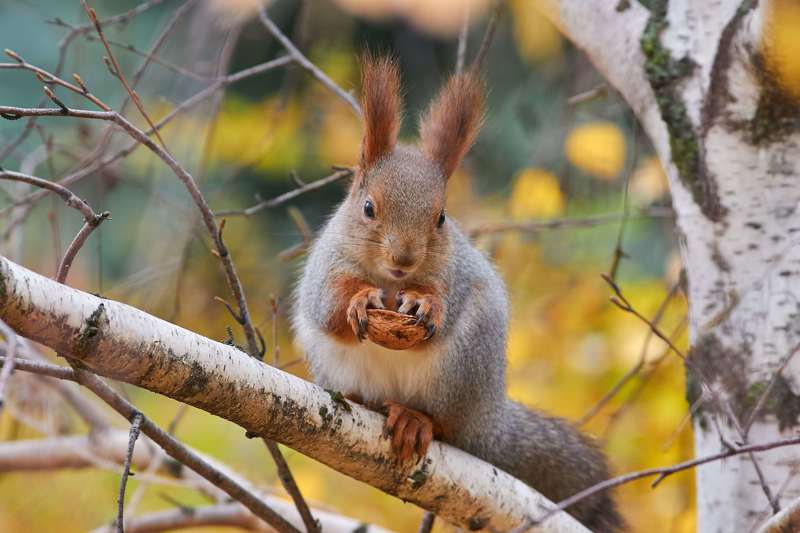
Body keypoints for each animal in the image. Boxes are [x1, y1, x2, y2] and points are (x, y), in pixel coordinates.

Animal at [292, 55, 622, 532]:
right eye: (368, 207)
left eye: (442, 217)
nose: (405, 258)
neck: (391, 282)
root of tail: (488, 423)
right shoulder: (325, 269)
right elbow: (327, 305)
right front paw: (359, 300)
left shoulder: (455, 274)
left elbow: (443, 302)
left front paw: (424, 304)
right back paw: (359, 399)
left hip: (461, 370)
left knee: (444, 424)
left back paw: (414, 420)